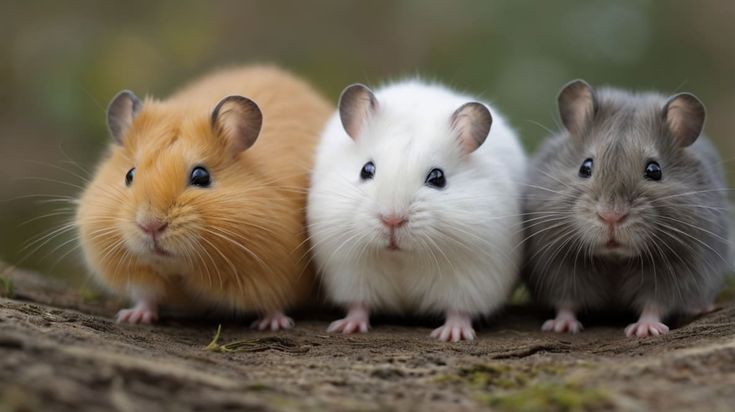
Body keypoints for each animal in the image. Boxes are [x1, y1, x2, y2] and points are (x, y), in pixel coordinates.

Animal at [76, 66, 332, 329]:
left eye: (201, 176)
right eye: (129, 175)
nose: (150, 226)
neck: (184, 268)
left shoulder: (274, 272)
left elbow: (272, 302)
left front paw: (274, 324)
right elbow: (147, 297)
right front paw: (132, 317)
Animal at [307, 80, 527, 341]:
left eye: (438, 178)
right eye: (366, 170)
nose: (392, 220)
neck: (403, 256)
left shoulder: (472, 277)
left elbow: (459, 311)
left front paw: (452, 335)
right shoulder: (350, 271)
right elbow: (359, 305)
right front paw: (345, 327)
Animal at [523, 79, 731, 337]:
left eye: (654, 170)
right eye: (585, 167)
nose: (611, 217)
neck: (615, 259)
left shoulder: (679, 270)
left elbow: (655, 303)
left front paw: (646, 330)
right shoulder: (556, 264)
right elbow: (566, 301)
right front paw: (560, 327)